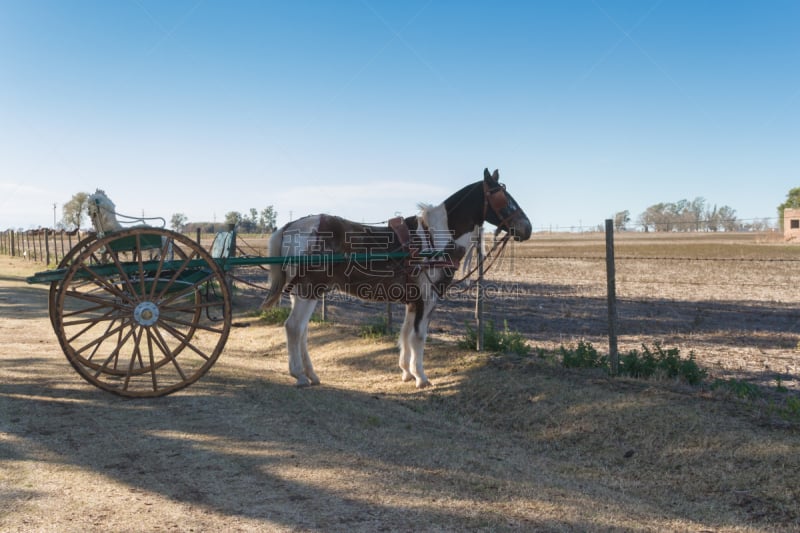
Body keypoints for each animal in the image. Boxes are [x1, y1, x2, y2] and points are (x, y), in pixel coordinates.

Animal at [262, 168, 536, 388]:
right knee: (294, 327)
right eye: (503, 197)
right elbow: (418, 336)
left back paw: (311, 374)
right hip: (309, 289)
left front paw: (406, 371)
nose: (527, 228)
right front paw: (421, 377)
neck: (434, 239)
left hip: (303, 292)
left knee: (302, 331)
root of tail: (290, 226)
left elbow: (405, 333)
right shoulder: (427, 297)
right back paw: (299, 375)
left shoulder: (413, 300)